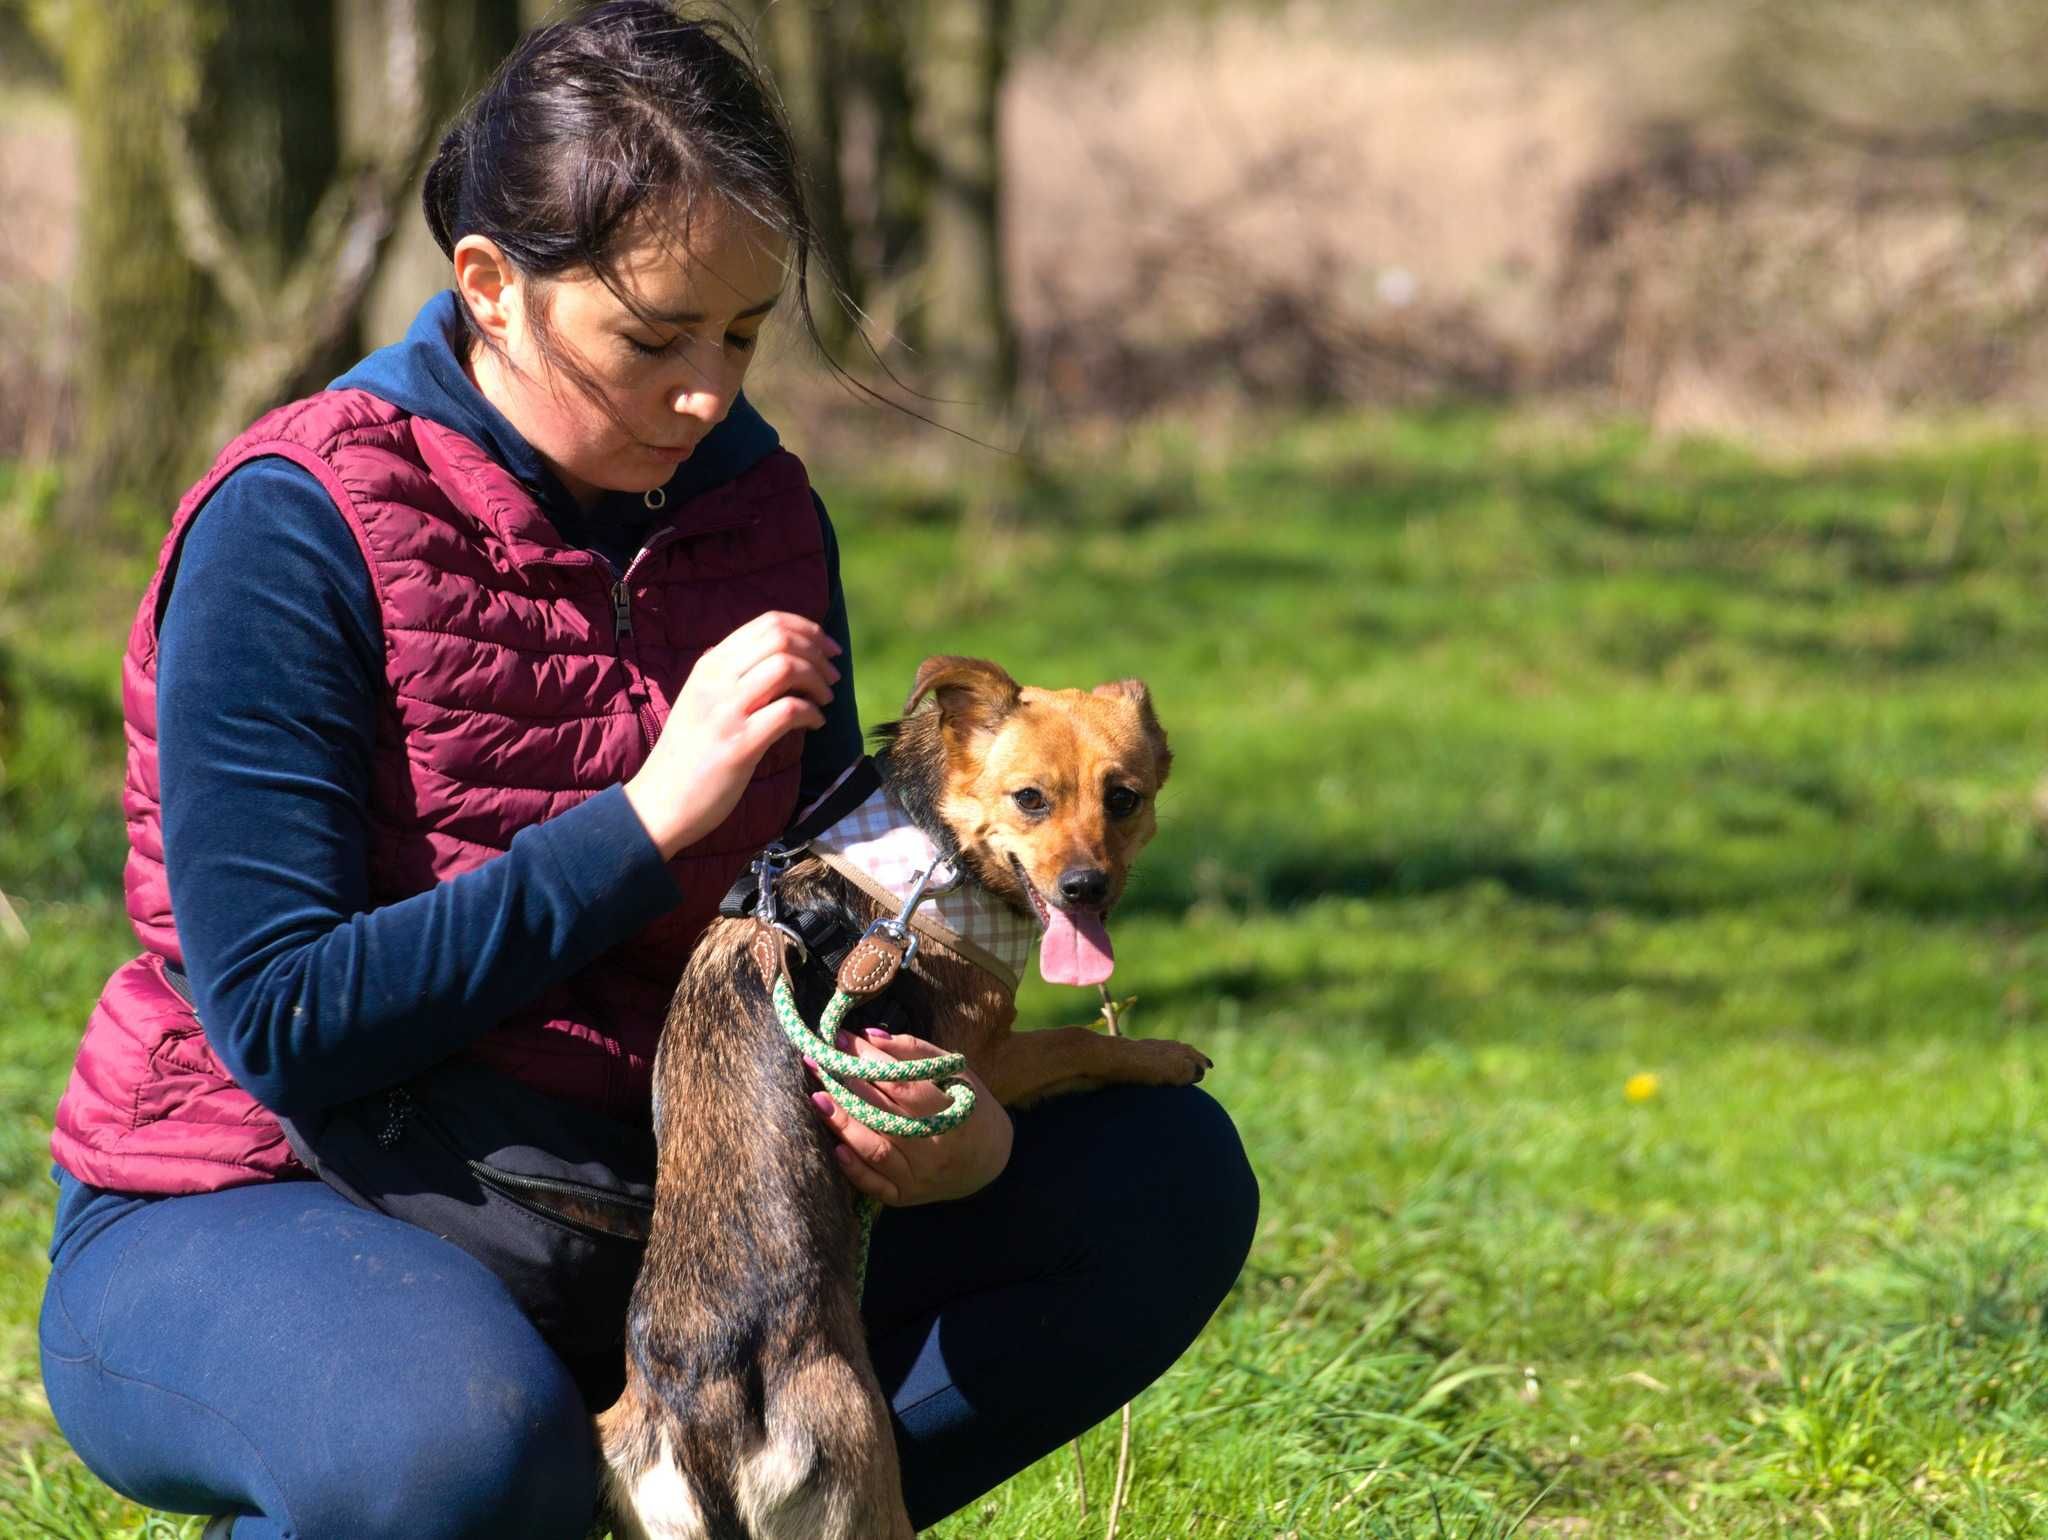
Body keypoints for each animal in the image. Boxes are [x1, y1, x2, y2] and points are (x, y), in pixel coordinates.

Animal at [598, 659, 1212, 1540]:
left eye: (1123, 798)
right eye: (1030, 798)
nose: (1087, 888)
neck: (938, 848)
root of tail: (703, 1423)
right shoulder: (983, 1058)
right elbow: (1079, 1039)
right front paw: (1162, 1055)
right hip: (863, 1480)